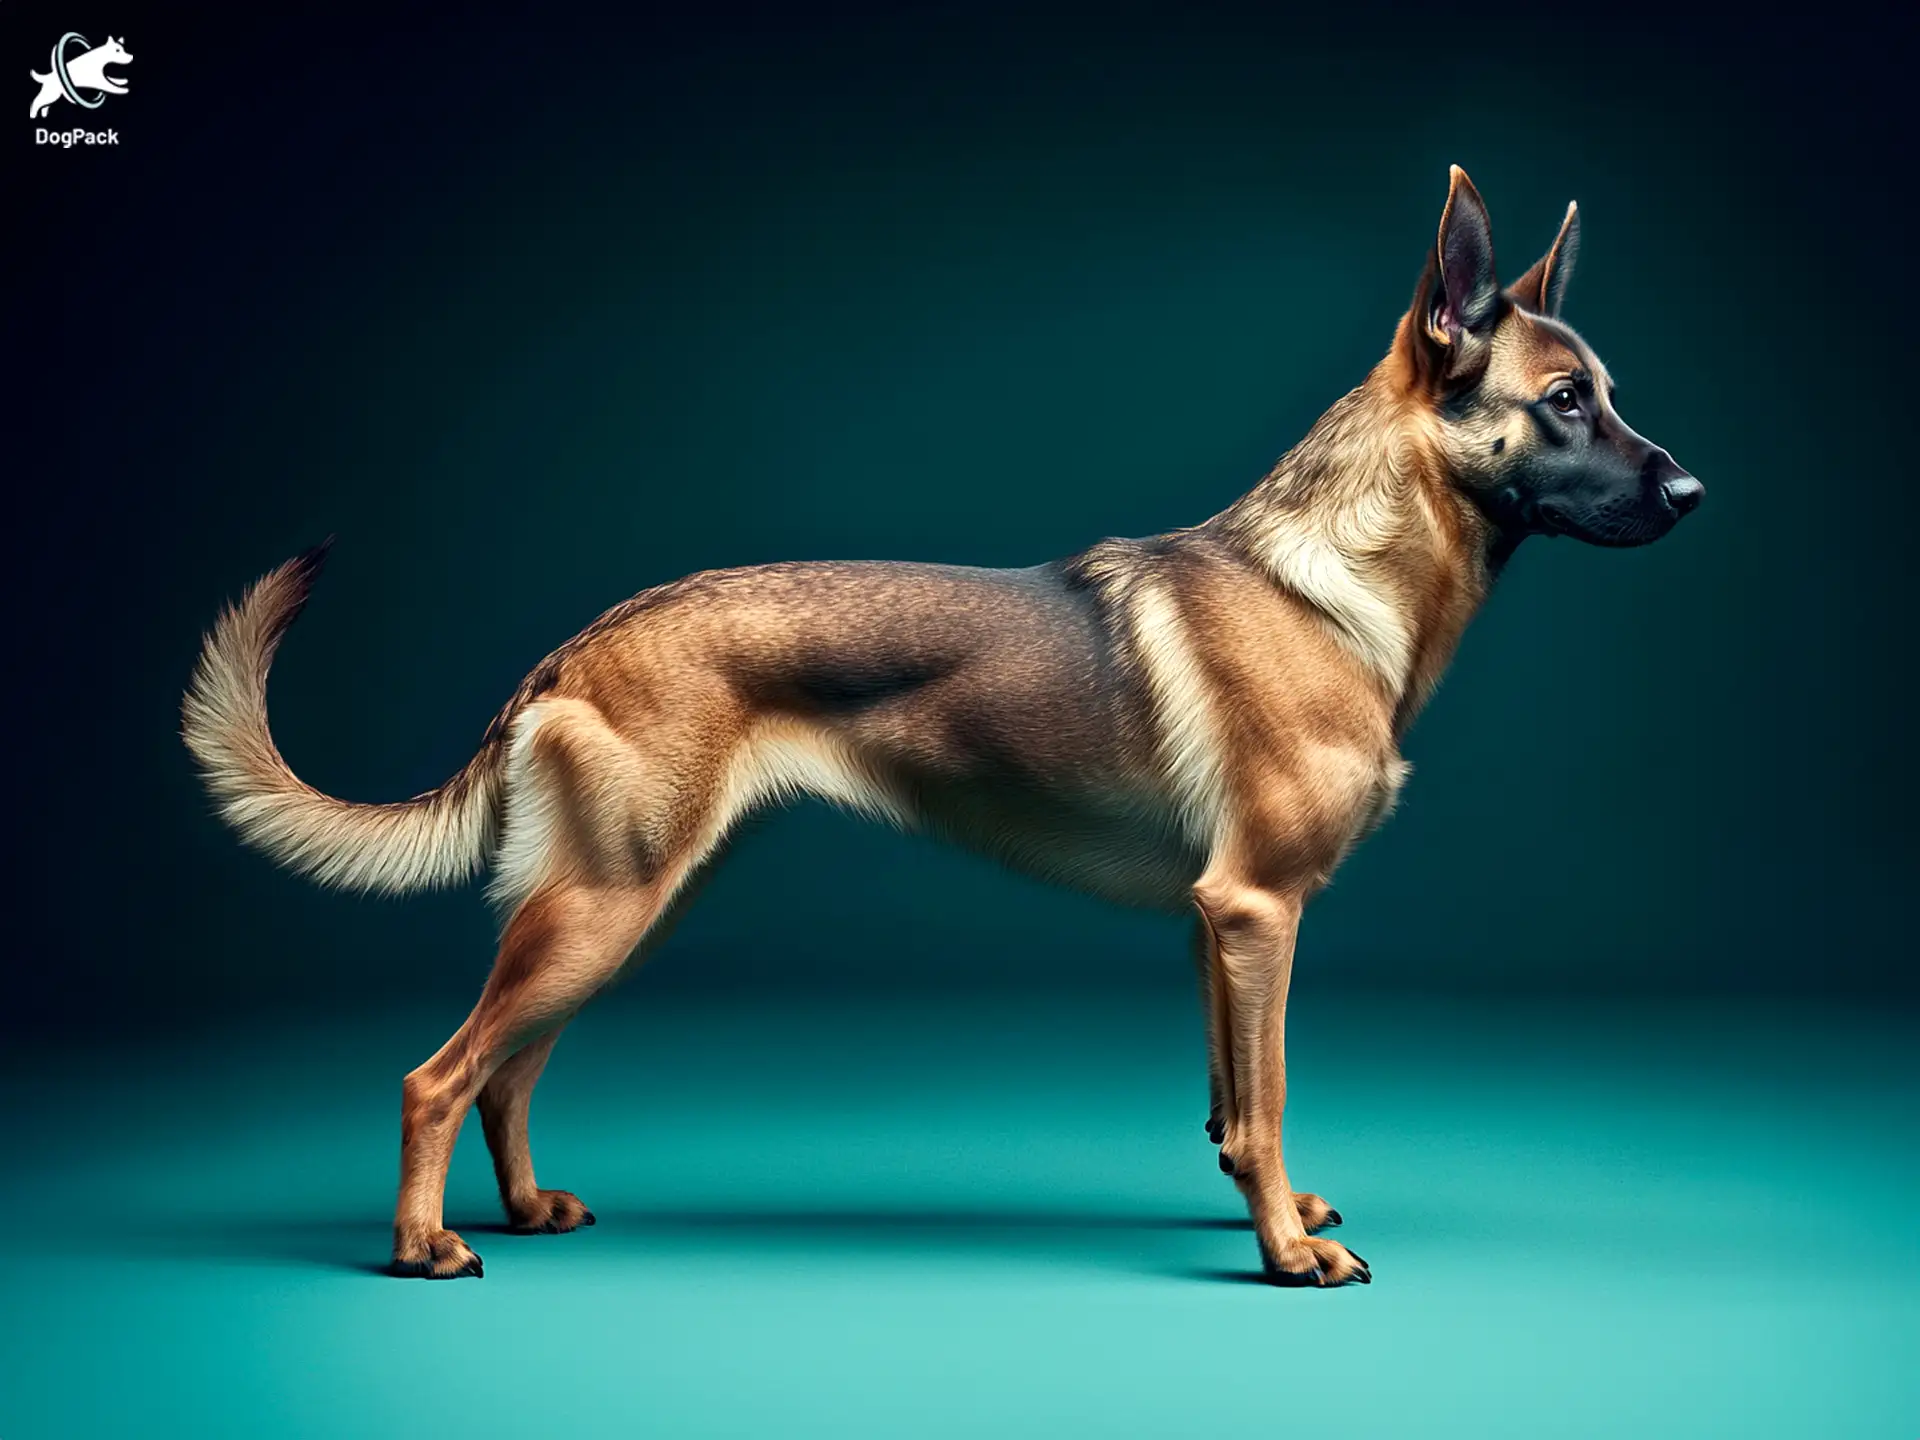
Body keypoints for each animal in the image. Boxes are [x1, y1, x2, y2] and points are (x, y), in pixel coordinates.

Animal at [183, 166, 1712, 1282]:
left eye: (1609, 394)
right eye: (1564, 403)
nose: (1695, 494)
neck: (1335, 579)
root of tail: (575, 644)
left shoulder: (1218, 930)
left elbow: (1232, 1109)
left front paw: (1268, 1214)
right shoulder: (1258, 913)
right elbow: (1268, 1100)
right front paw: (1287, 1257)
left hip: (625, 910)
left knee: (507, 1074)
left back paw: (519, 1209)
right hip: (603, 911)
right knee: (436, 1076)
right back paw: (422, 1247)